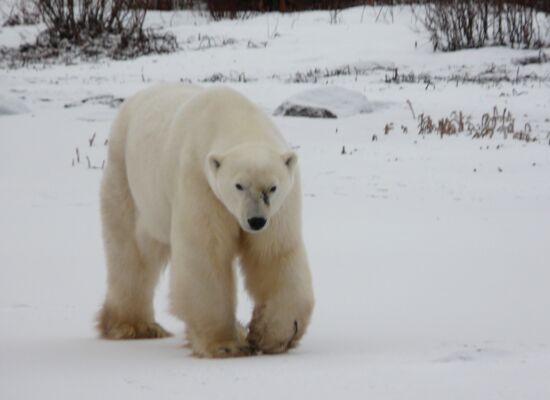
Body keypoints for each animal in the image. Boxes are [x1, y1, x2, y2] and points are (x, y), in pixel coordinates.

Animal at [97, 83, 314, 356]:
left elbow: (274, 253)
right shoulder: (200, 183)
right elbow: (206, 253)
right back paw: (133, 326)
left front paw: (272, 335)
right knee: (130, 251)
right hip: (126, 176)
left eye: (272, 187)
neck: (235, 117)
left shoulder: (280, 208)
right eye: (238, 185)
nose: (255, 221)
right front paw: (226, 344)